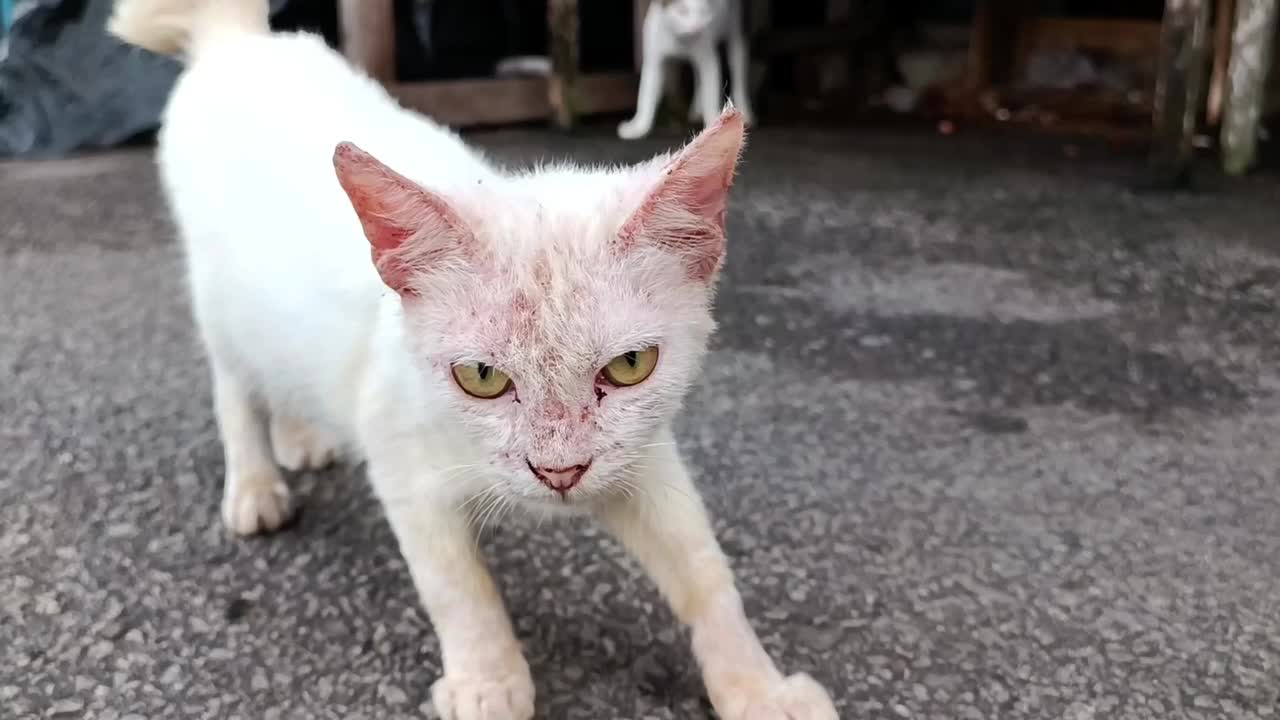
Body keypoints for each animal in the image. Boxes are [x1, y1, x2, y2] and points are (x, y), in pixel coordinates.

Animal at [616, 0, 752, 140]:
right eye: (682, 10)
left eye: (703, 12)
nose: (697, 28)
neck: (679, 39)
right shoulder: (654, 61)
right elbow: (646, 95)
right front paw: (639, 128)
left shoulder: (708, 60)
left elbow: (710, 95)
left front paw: (714, 126)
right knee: (698, 77)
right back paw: (696, 110)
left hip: (736, 33)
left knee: (738, 75)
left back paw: (745, 112)